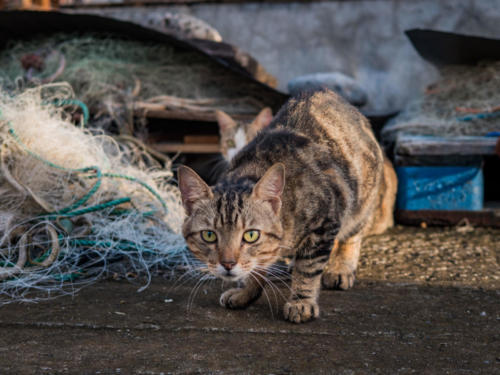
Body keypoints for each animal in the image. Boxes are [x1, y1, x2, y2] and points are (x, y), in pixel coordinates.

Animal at [178, 90, 396, 324]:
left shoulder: (324, 222)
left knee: (351, 235)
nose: (228, 263)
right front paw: (246, 292)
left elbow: (308, 268)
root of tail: (328, 92)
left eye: (250, 235)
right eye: (209, 235)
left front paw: (302, 302)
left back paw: (341, 267)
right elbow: (257, 266)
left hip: (360, 201)